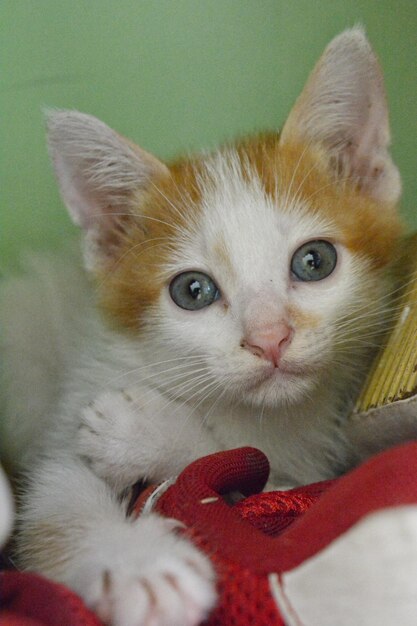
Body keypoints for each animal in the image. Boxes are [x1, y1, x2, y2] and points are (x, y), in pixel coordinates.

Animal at [0, 28, 404, 624]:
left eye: (315, 262)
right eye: (193, 291)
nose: (269, 339)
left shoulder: (319, 465)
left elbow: (248, 470)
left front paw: (147, 433)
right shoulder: (75, 405)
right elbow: (57, 498)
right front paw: (141, 569)